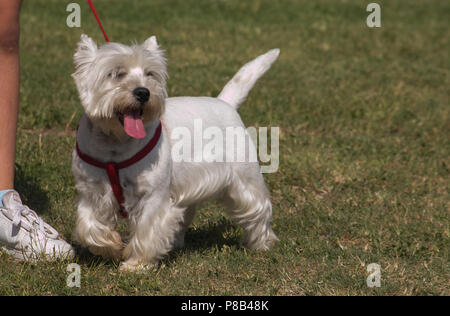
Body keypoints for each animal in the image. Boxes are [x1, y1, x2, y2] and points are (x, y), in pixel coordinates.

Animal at [71, 34, 278, 272]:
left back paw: (261, 244)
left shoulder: (153, 195)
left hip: (244, 177)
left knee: (258, 208)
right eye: (116, 73)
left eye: (150, 73)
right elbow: (89, 227)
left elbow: (147, 229)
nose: (143, 92)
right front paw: (111, 246)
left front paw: (136, 265)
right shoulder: (91, 191)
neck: (115, 144)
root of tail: (225, 102)